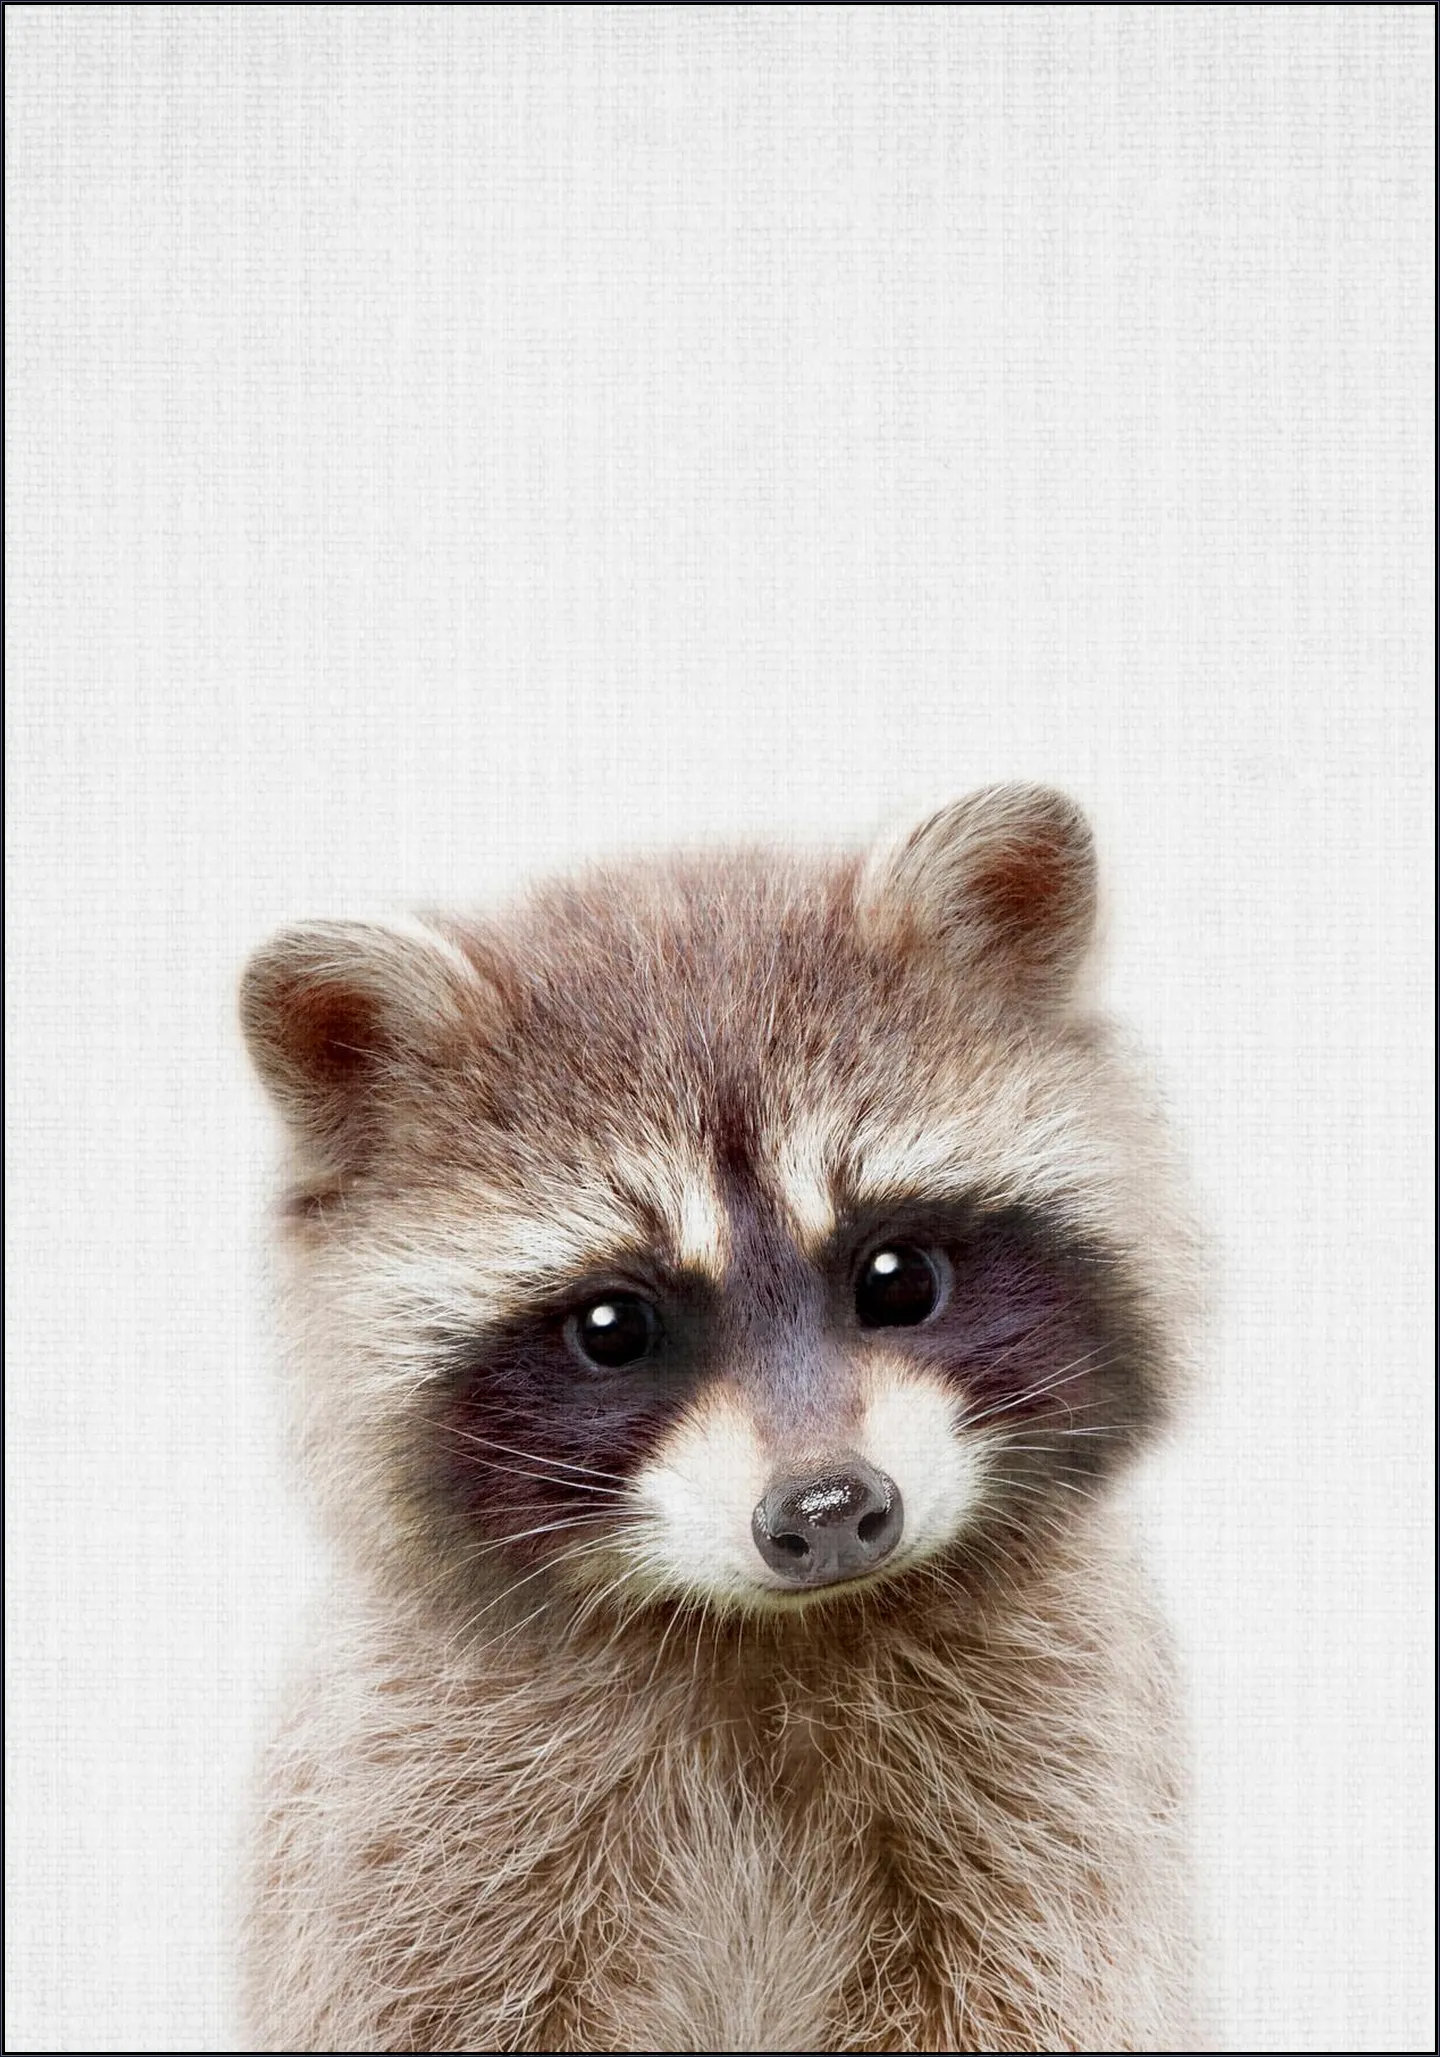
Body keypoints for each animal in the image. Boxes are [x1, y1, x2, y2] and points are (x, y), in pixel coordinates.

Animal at [237, 785, 1200, 2054]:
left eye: (898, 1277)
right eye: (612, 1327)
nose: (831, 1508)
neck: (764, 1628)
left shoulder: (1055, 1779)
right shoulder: (416, 1816)